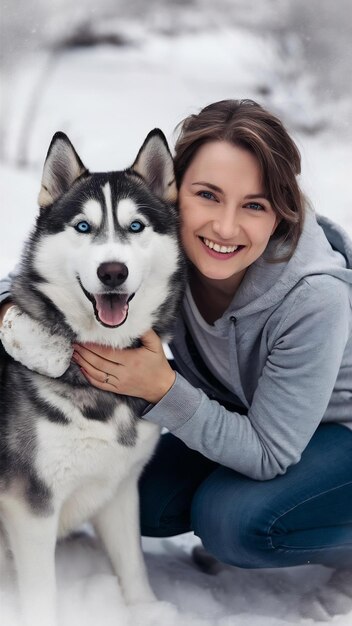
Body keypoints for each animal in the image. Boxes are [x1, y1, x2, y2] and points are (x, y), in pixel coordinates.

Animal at [0, 129, 186, 620]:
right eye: (83, 227)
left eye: (136, 227)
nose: (112, 271)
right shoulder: (31, 505)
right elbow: (41, 592)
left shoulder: (120, 489)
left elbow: (133, 564)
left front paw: (147, 612)